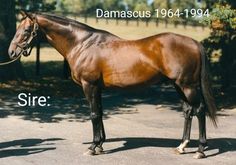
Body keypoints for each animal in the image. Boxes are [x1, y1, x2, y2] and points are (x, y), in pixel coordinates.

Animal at [7, 11, 218, 159]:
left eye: (26, 30)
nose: (11, 52)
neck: (82, 44)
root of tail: (194, 43)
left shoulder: (89, 85)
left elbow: (93, 114)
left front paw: (92, 147)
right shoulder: (97, 88)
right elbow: (99, 113)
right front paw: (100, 145)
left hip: (188, 86)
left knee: (199, 110)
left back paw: (200, 150)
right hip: (178, 86)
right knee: (188, 111)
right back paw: (182, 146)